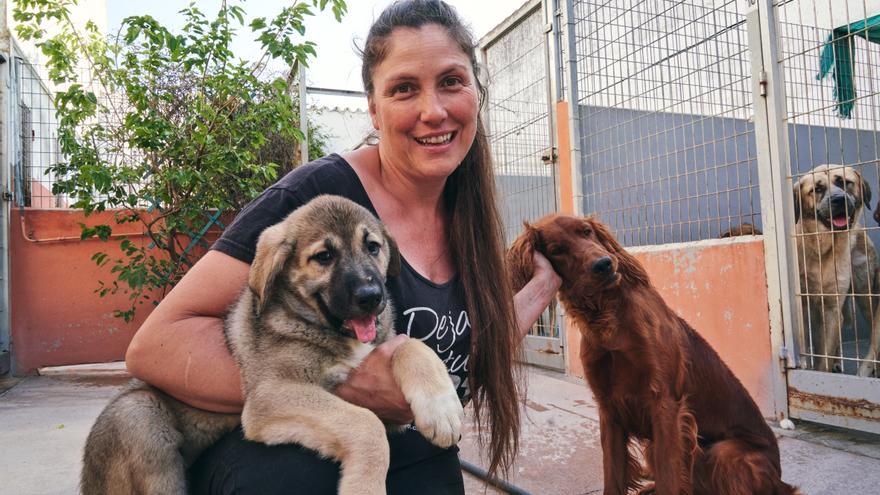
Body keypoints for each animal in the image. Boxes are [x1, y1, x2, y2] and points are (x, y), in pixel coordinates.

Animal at [506, 215, 800, 495]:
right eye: (557, 250)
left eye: (586, 231)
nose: (604, 264)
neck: (608, 322)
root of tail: (781, 480)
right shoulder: (609, 407)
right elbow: (613, 475)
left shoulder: (665, 404)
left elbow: (670, 478)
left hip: (722, 453)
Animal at [796, 164, 876, 376]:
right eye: (816, 189)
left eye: (845, 182)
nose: (839, 200)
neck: (821, 249)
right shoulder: (805, 305)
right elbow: (810, 347)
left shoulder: (832, 307)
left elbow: (824, 355)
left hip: (866, 295)